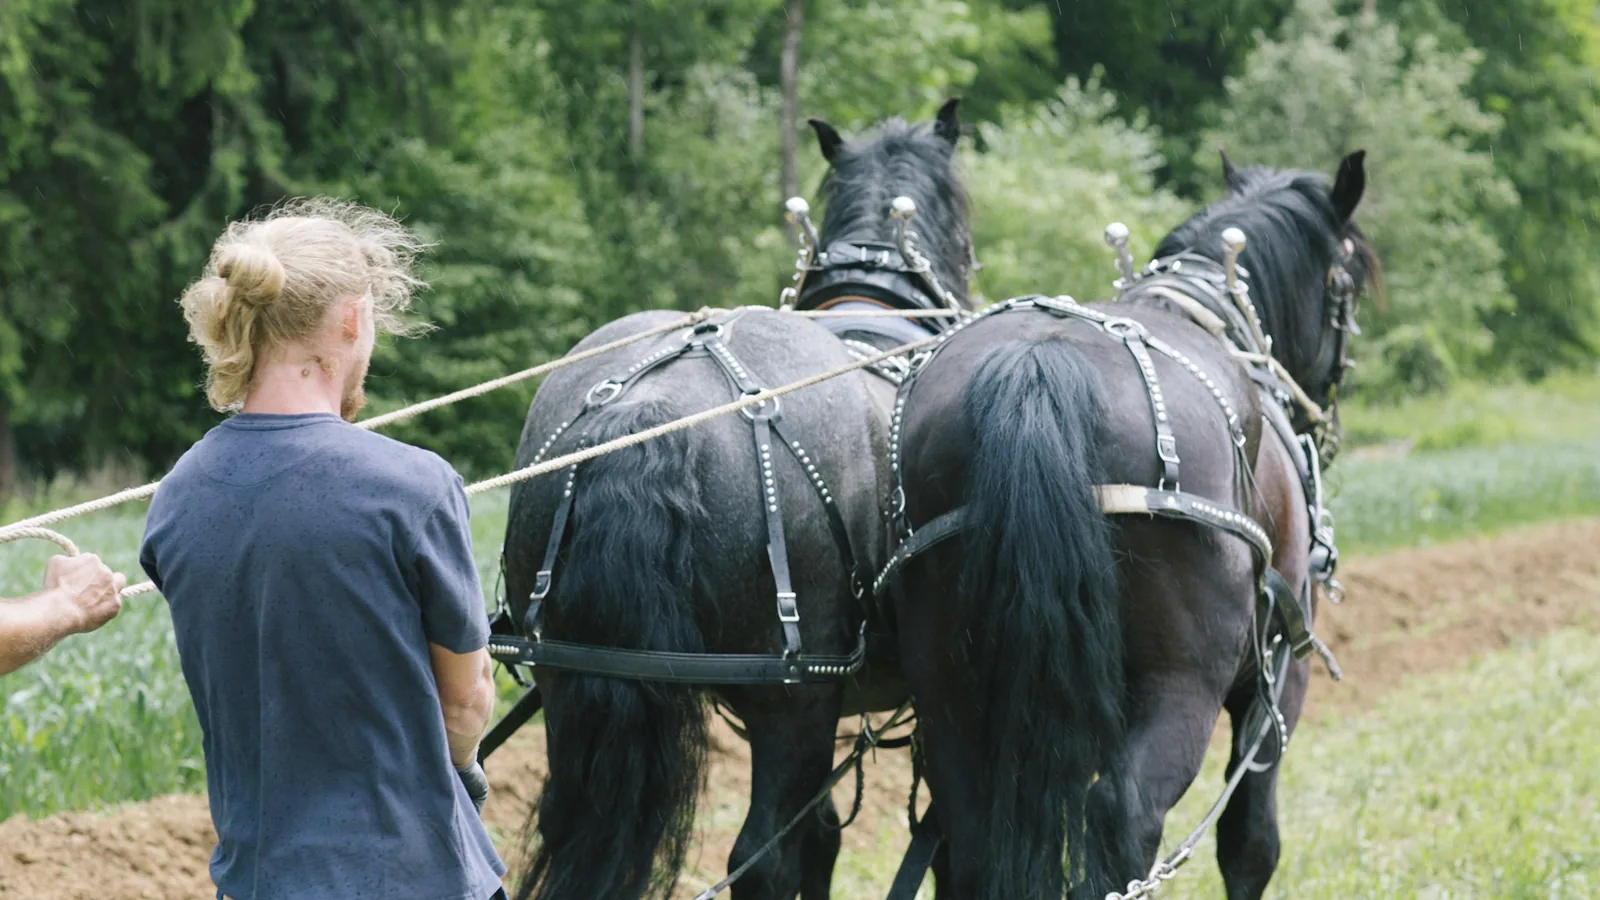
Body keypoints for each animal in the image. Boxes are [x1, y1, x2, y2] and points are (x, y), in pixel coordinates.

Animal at [497, 103, 977, 900]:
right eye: (967, 230)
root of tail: (651, 406)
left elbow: (826, 836)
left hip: (568, 679)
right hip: (793, 701)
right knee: (761, 856)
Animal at [887, 151, 1378, 899]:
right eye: (1347, 281)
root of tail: (1039, 369)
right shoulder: (1278, 676)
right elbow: (1250, 842)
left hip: (951, 697)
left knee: (970, 838)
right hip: (1181, 686)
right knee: (1121, 818)